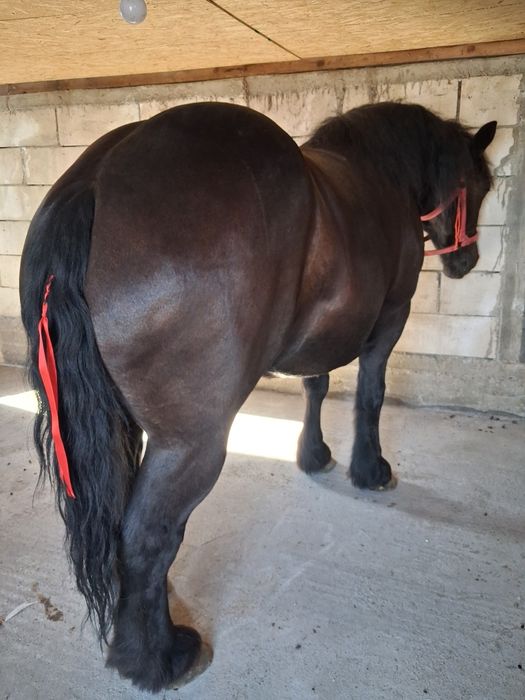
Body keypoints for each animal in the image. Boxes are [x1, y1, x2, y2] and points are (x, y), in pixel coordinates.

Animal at [19, 100, 496, 691]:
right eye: (479, 184)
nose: (467, 261)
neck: (381, 177)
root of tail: (94, 182)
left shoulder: (319, 336)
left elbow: (318, 385)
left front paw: (314, 456)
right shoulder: (390, 318)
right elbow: (370, 395)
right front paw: (370, 469)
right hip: (194, 443)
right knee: (148, 534)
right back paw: (158, 659)